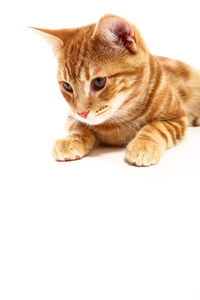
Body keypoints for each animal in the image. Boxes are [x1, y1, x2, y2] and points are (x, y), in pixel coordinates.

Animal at [31, 14, 200, 166]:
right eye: (67, 86)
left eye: (99, 81)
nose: (82, 113)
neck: (120, 118)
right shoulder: (72, 115)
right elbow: (77, 125)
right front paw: (72, 139)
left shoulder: (177, 117)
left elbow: (156, 127)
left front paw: (143, 144)